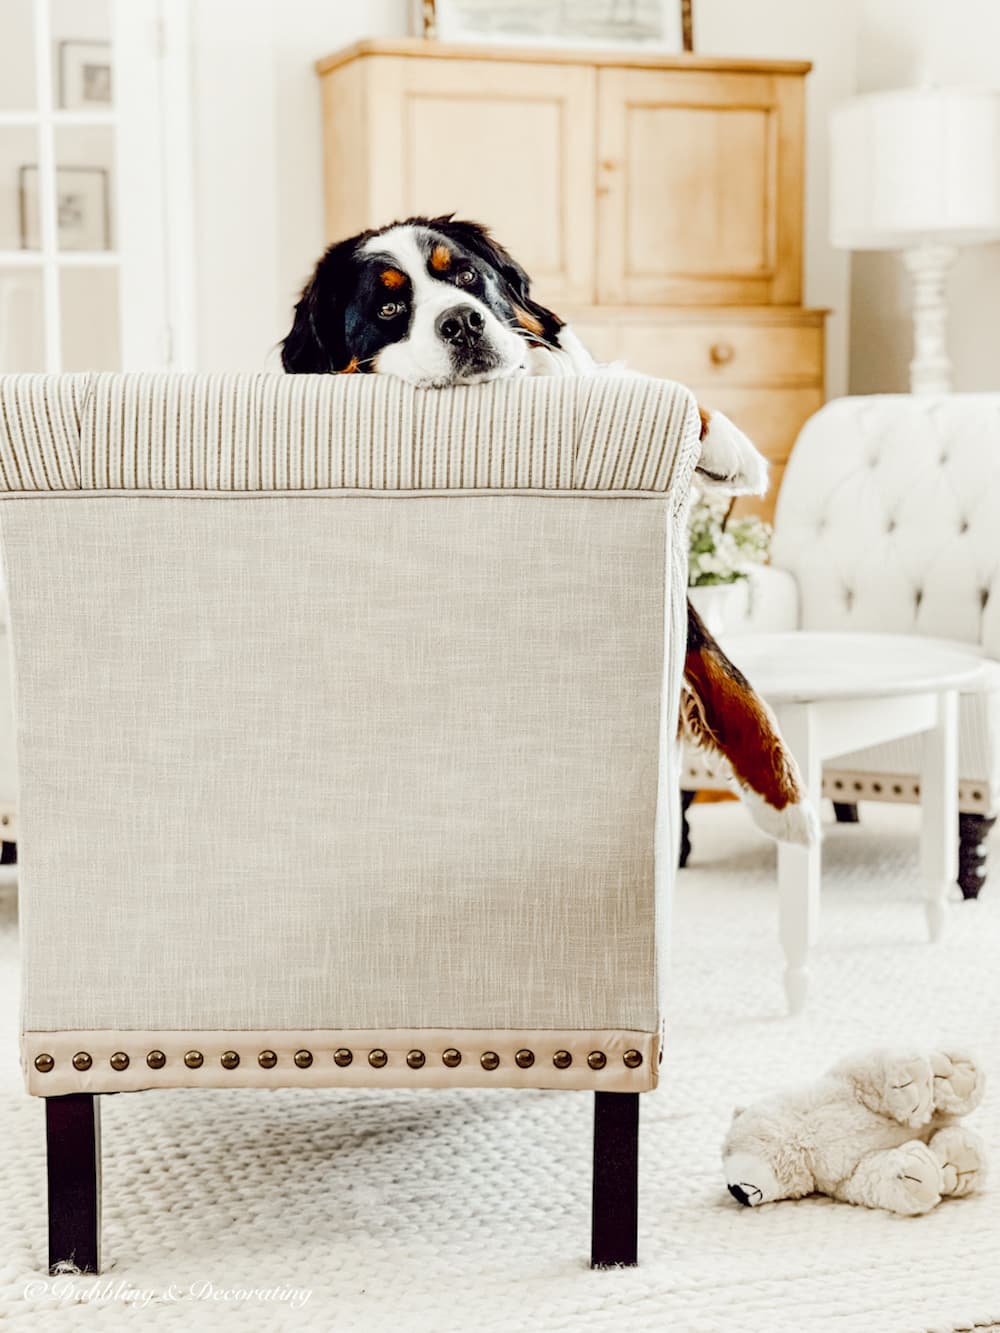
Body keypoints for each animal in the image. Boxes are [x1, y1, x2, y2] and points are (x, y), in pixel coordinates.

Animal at [280, 214, 816, 847]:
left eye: (466, 276)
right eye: (388, 308)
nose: (462, 321)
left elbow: (725, 671)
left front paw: (783, 795)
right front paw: (786, 804)